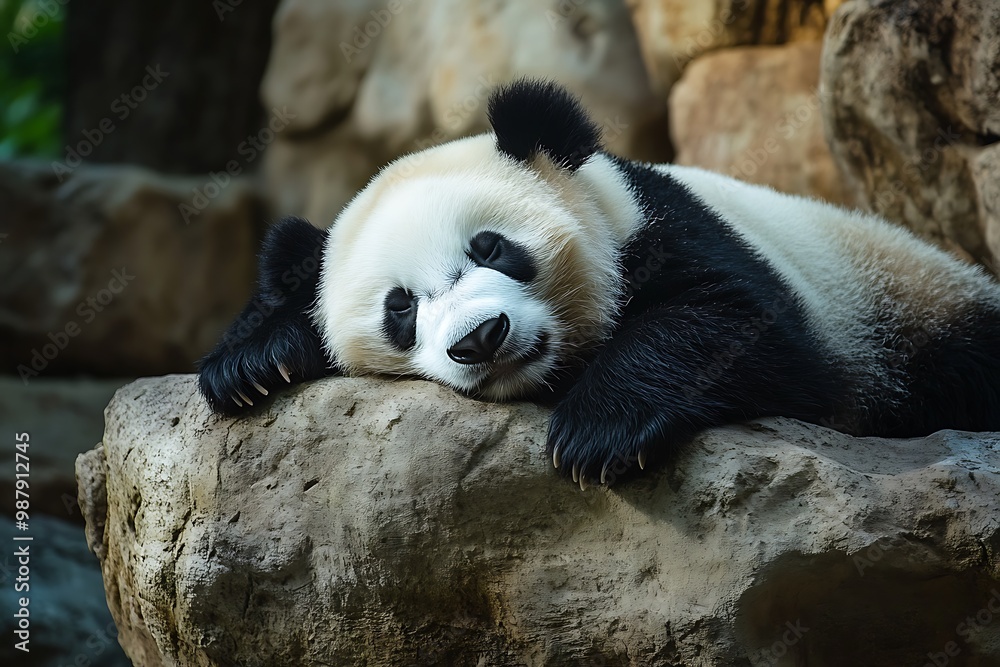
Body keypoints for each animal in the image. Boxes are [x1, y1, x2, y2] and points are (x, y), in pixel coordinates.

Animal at [199, 79, 1000, 488]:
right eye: (401, 308)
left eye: (491, 247)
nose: (480, 338)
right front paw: (253, 365)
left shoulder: (670, 226)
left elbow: (737, 321)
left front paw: (598, 432)